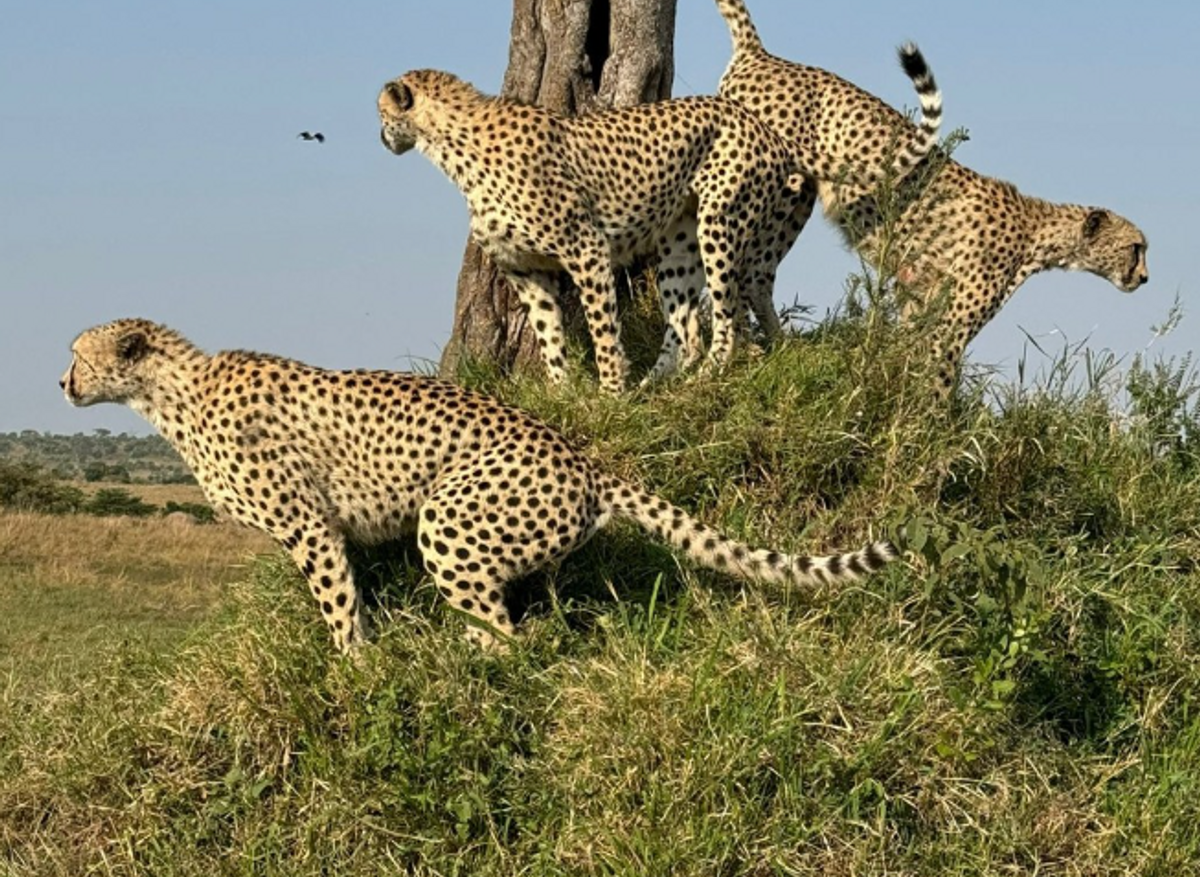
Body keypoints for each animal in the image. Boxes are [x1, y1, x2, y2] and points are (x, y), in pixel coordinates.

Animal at [61, 319, 898, 653]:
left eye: (77, 352)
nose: (60, 381)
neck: (171, 394)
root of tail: (583, 458)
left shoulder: (310, 527)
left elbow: (337, 602)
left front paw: (351, 669)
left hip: (452, 514)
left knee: (507, 637)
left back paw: (458, 667)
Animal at [376, 59, 941, 391]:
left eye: (381, 113)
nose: (380, 137)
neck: (454, 147)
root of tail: (764, 126)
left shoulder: (587, 250)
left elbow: (603, 332)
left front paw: (610, 395)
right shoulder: (526, 271)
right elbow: (549, 336)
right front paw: (565, 395)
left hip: (720, 223)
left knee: (726, 322)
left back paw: (699, 378)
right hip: (678, 244)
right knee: (686, 327)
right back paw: (657, 389)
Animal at [710, 0, 1149, 394]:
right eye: (1136, 247)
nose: (1144, 278)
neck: (1037, 232)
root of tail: (761, 55)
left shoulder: (916, 299)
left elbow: (905, 355)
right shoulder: (951, 325)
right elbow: (939, 380)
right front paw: (936, 425)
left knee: (752, 271)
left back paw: (777, 348)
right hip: (780, 185)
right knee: (747, 268)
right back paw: (756, 349)